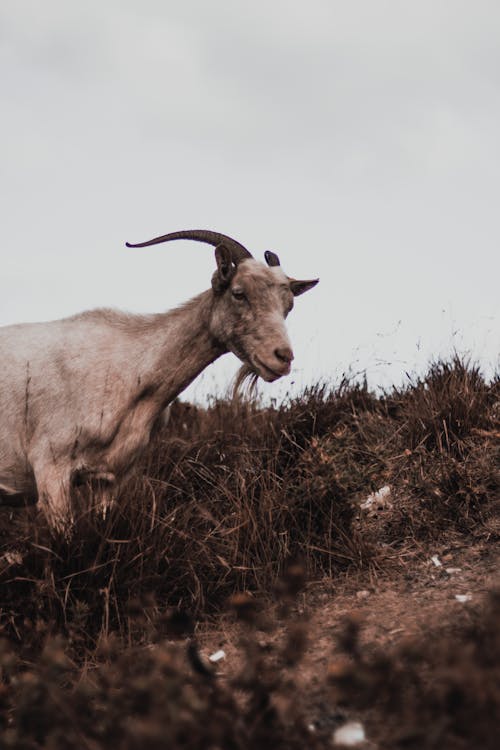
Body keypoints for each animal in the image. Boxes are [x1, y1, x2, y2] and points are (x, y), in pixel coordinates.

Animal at [0, 229, 318, 528]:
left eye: (288, 305)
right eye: (239, 293)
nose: (282, 357)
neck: (130, 370)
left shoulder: (111, 478)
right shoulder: (51, 469)